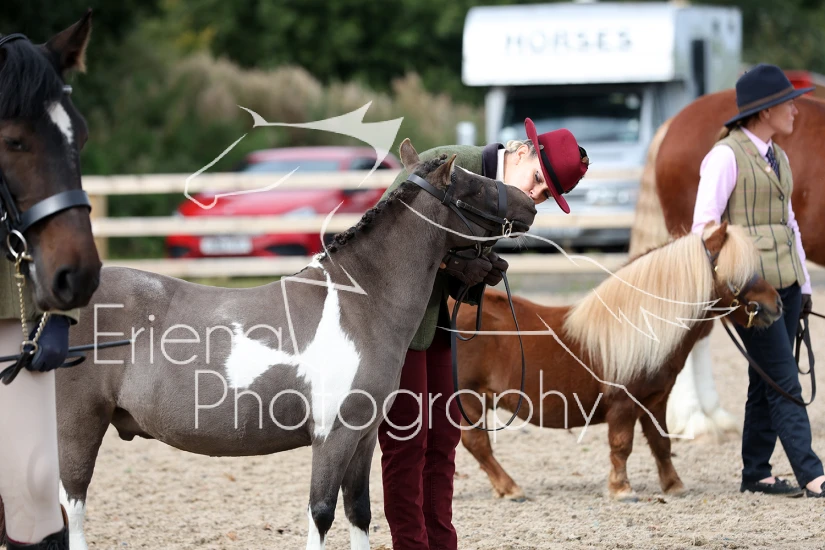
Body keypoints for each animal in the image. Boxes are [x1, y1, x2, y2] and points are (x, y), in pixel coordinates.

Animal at [51, 139, 536, 550]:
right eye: (475, 186)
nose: (530, 203)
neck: (361, 303)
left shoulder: (363, 437)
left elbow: (359, 511)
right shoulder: (332, 436)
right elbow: (321, 513)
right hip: (78, 425)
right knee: (72, 507)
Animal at [453, 222, 782, 501]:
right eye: (737, 271)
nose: (776, 303)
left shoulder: (655, 401)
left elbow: (661, 443)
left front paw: (674, 485)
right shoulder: (623, 404)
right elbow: (622, 445)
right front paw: (622, 489)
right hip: (469, 399)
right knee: (477, 444)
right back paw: (510, 488)